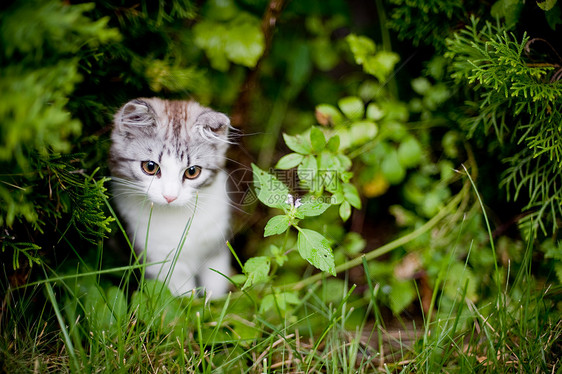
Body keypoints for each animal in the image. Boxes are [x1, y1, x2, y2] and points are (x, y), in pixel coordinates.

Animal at [108, 98, 231, 300]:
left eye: (192, 172)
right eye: (150, 167)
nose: (170, 196)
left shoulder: (217, 247)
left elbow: (216, 281)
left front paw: (215, 301)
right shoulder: (159, 259)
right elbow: (180, 296)